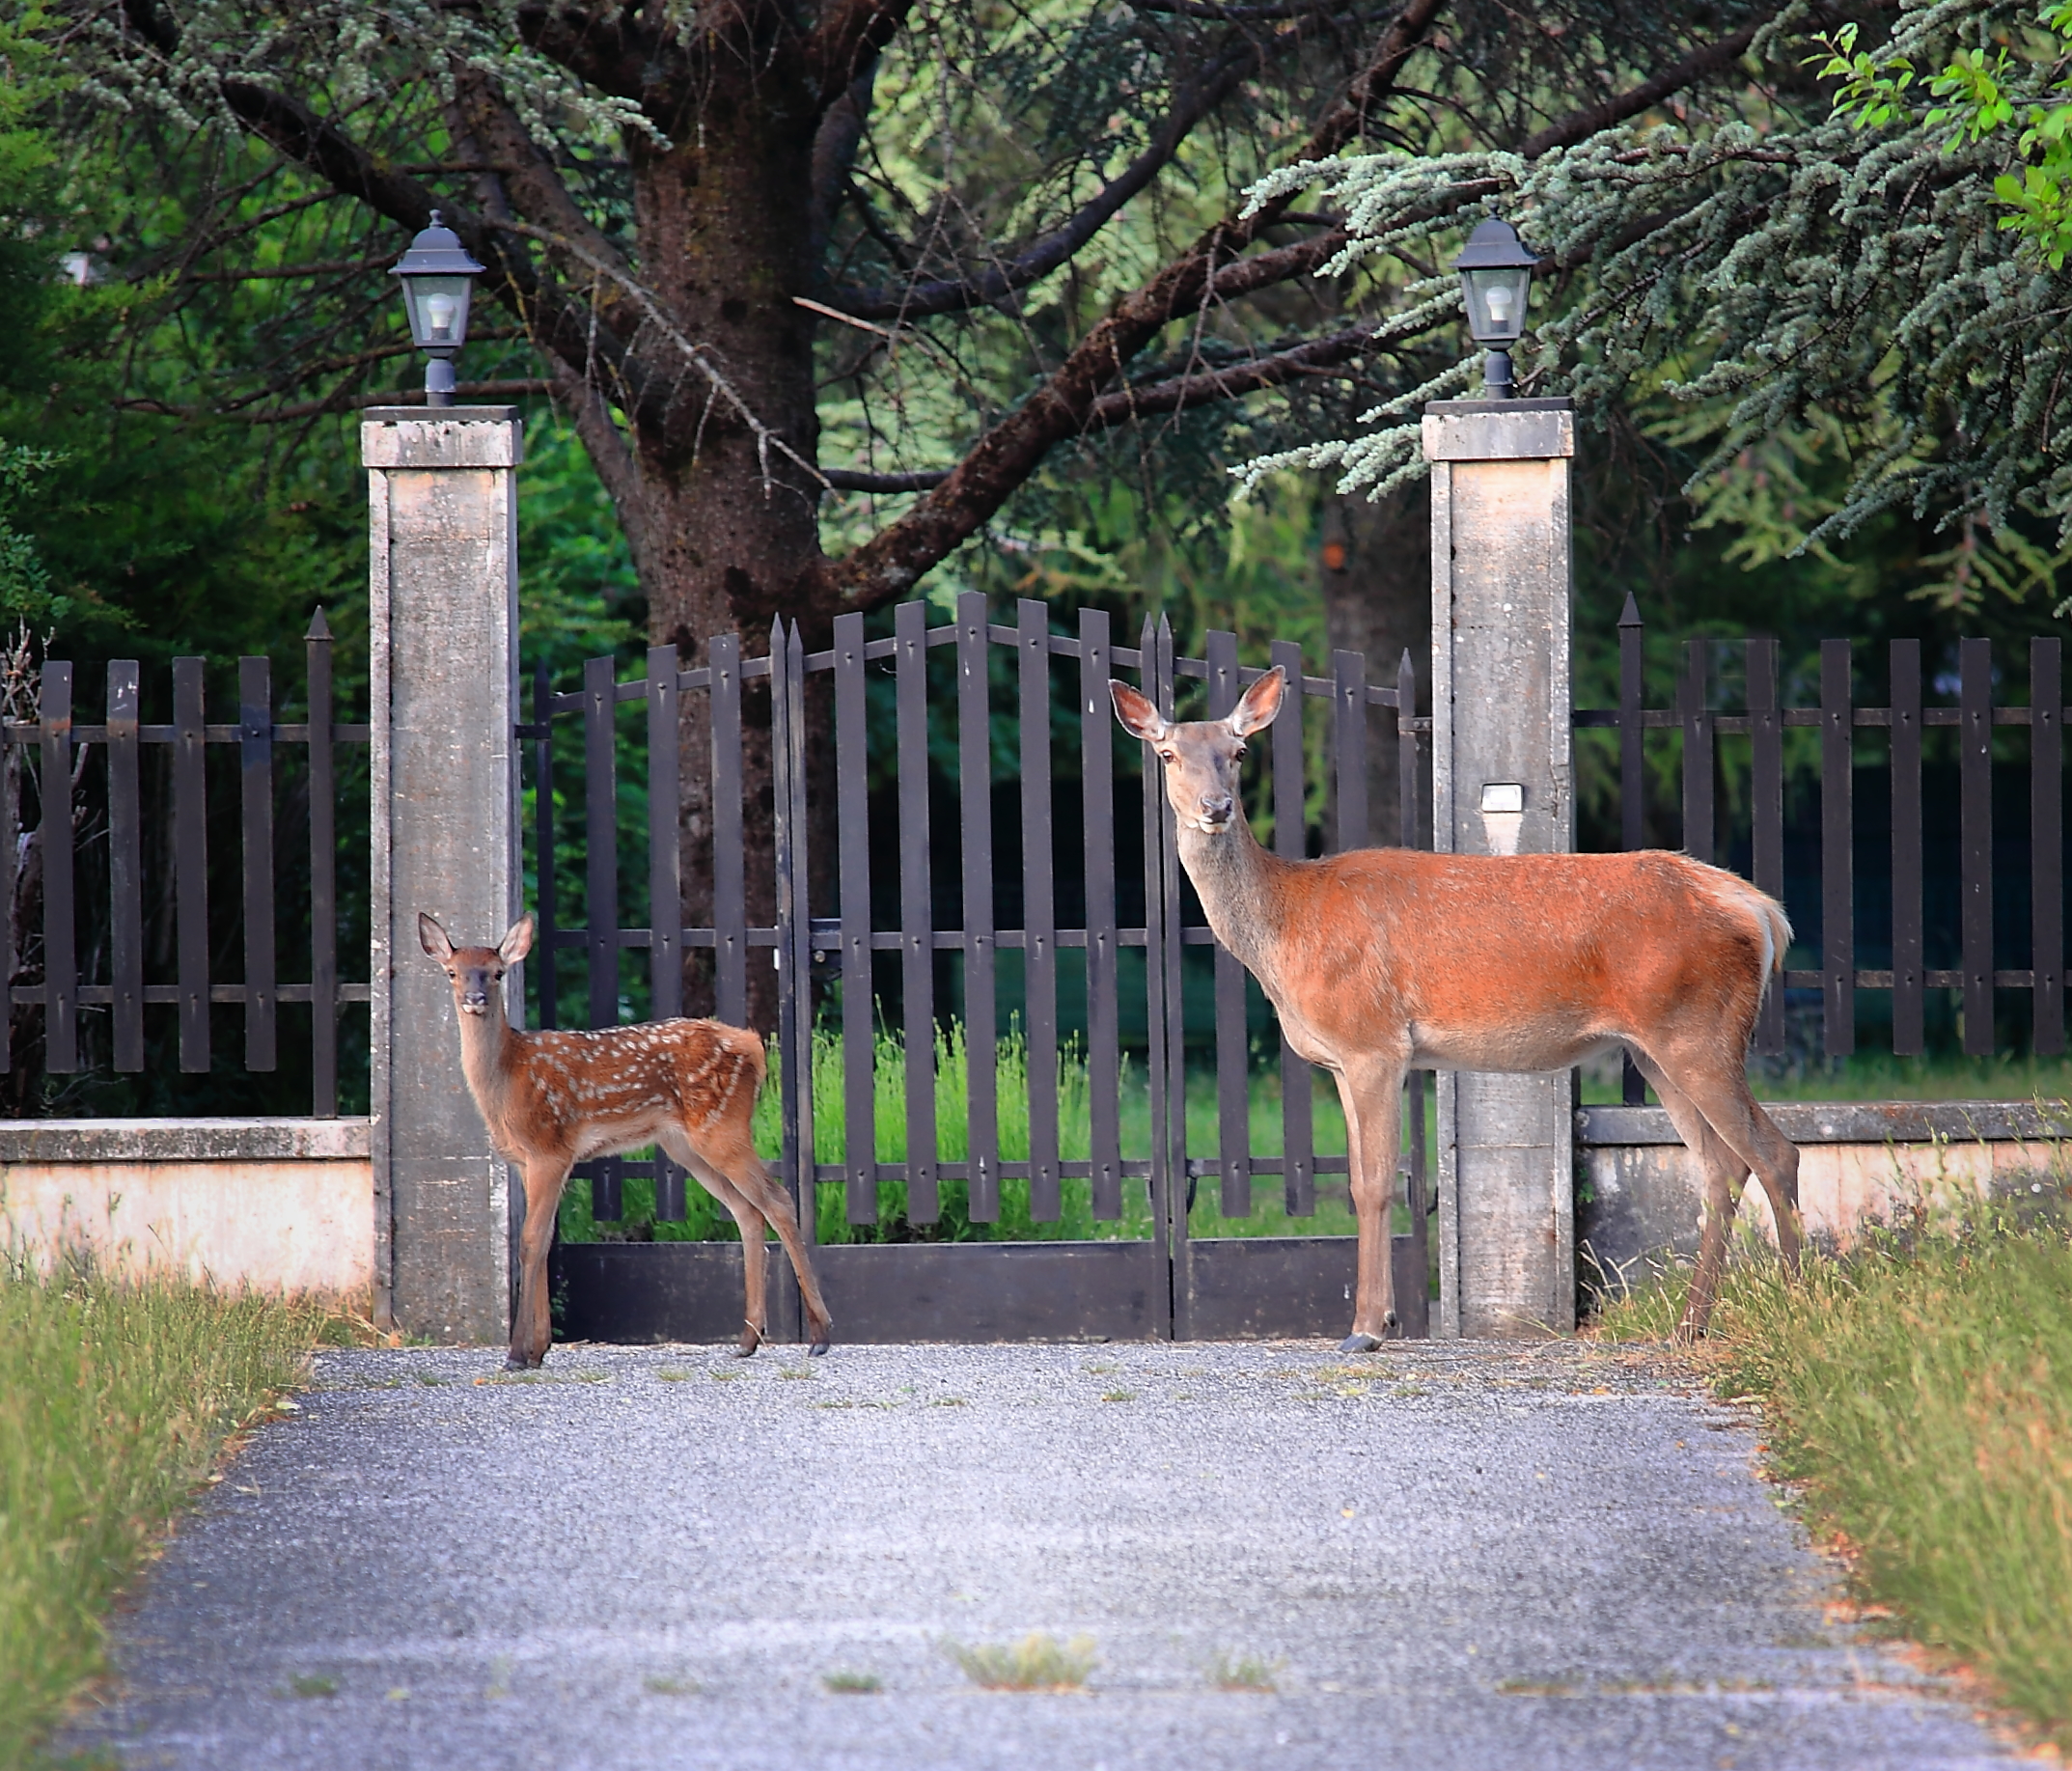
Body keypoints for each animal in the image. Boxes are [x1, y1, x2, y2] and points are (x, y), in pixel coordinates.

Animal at [418, 912, 833, 1371]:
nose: (474, 998)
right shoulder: (527, 1161)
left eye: (497, 973)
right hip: (684, 1145)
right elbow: (544, 1241)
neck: (507, 1079)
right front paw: (539, 1349)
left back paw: (820, 1335)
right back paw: (746, 1339)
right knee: (747, 1210)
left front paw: (516, 1354)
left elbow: (529, 1242)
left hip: (722, 1125)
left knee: (778, 1199)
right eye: (452, 972)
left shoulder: (550, 1149)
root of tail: (753, 1046)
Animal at [1111, 666, 1802, 1347]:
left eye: (1239, 752)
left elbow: (1373, 1183)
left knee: (1773, 1152)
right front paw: (1382, 1318)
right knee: (1719, 1166)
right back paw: (1690, 1325)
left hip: (1700, 1028)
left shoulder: (1372, 1041)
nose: (1216, 807)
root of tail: (1762, 912)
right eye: (1168, 754)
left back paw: (1794, 1307)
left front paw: (1366, 1329)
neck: (1286, 932)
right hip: (1655, 1046)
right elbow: (1361, 1178)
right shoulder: (1340, 1060)